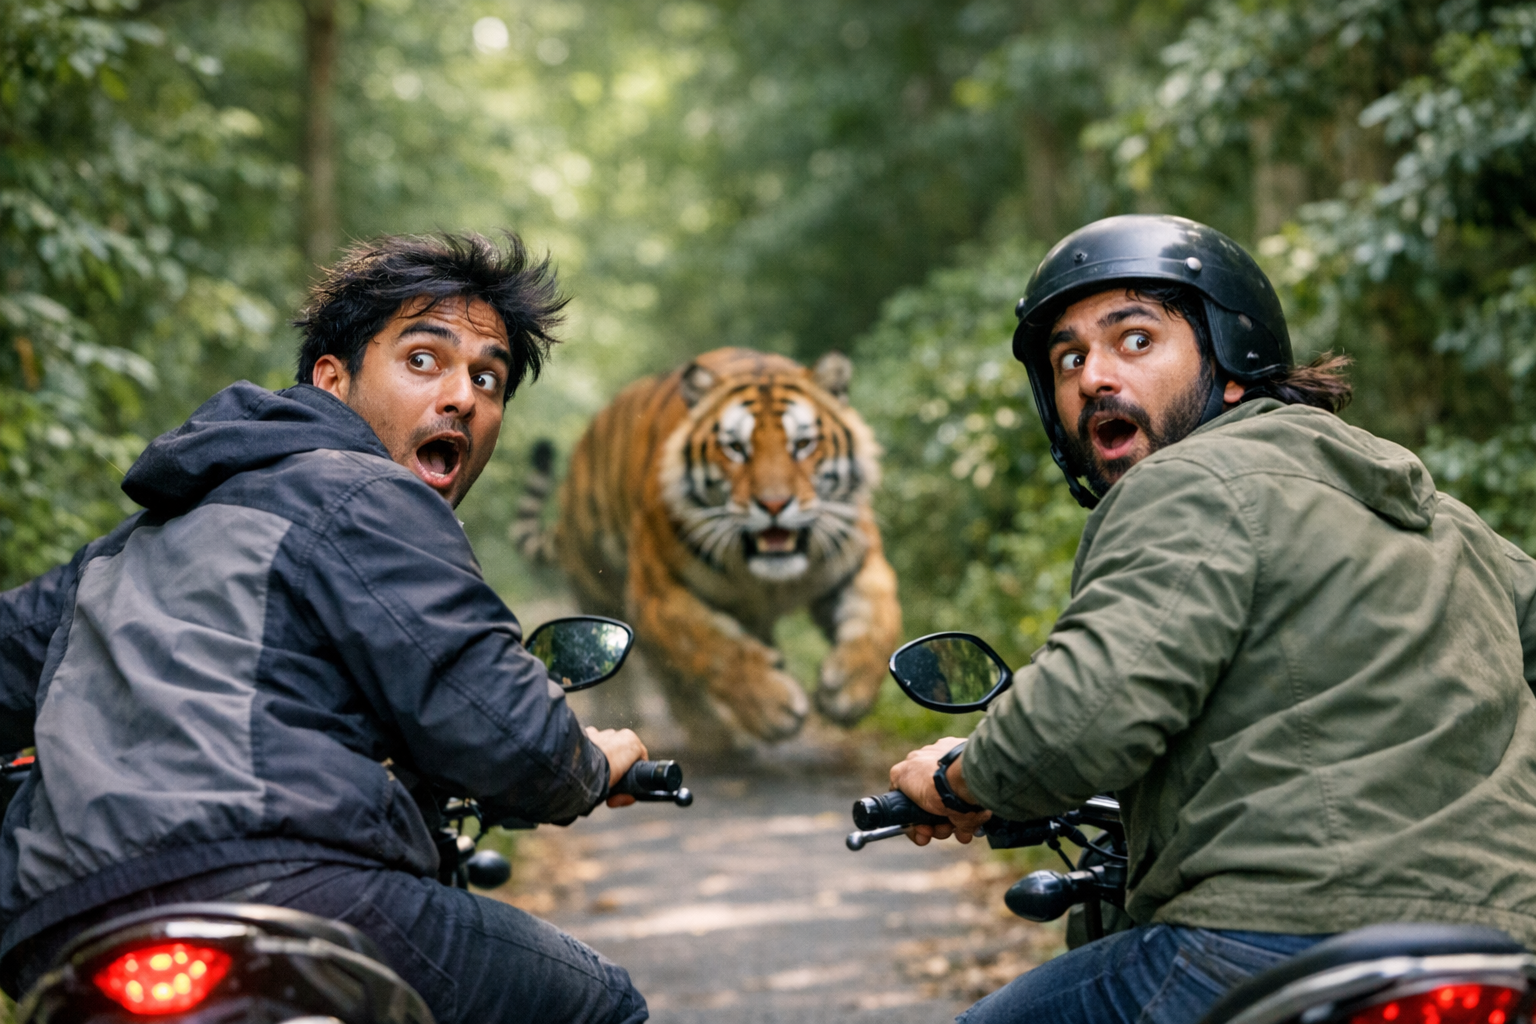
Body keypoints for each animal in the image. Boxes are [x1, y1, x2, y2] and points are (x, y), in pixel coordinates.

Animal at [513, 347, 901, 748]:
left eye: (803, 445)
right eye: (736, 449)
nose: (774, 504)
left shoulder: (857, 561)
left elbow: (879, 619)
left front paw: (848, 692)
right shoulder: (658, 593)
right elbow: (715, 648)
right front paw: (774, 708)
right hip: (599, 588)